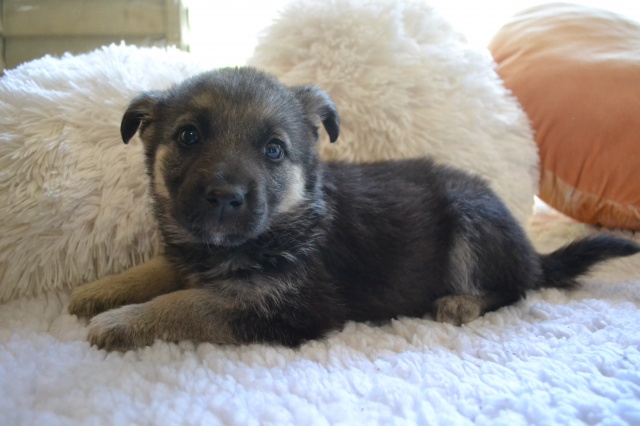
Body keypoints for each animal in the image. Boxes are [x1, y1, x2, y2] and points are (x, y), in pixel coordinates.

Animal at [68, 67, 640, 351]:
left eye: (273, 150)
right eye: (188, 136)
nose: (225, 198)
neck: (291, 216)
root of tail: (531, 250)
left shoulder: (286, 304)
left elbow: (191, 303)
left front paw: (123, 321)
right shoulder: (194, 256)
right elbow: (160, 270)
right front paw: (101, 290)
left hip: (472, 218)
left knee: (516, 287)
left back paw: (464, 302)